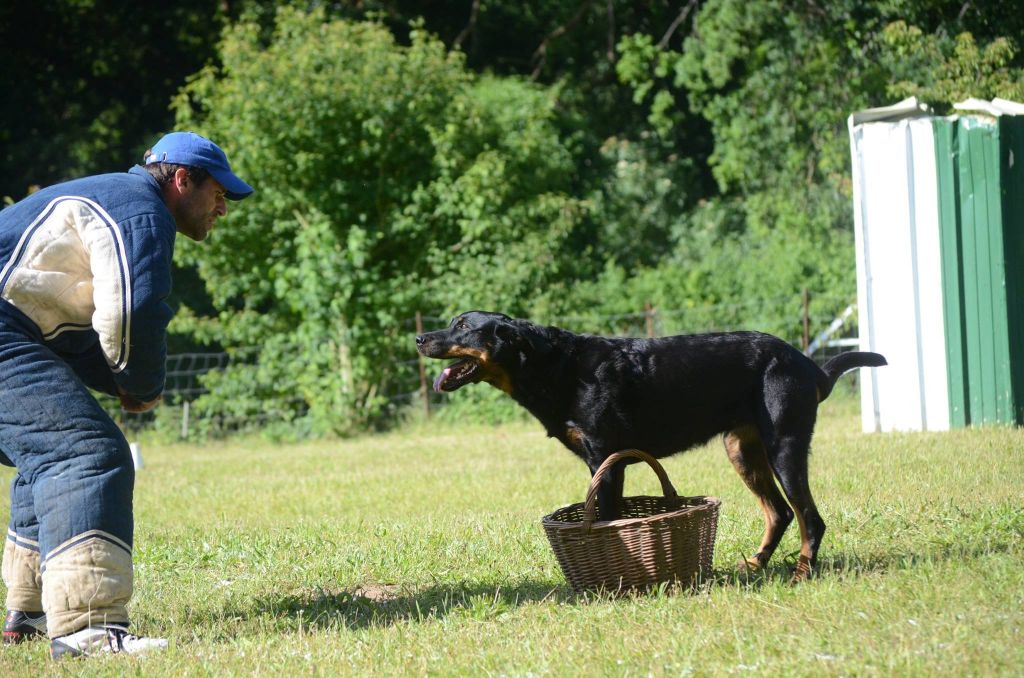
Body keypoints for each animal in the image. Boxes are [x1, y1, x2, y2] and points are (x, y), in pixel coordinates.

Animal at [411, 313, 884, 585]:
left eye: (463, 327)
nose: (418, 339)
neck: (552, 367)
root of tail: (809, 365)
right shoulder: (604, 462)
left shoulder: (604, 459)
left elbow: (604, 514)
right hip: (742, 449)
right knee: (781, 512)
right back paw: (755, 565)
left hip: (784, 446)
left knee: (809, 518)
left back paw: (802, 573)